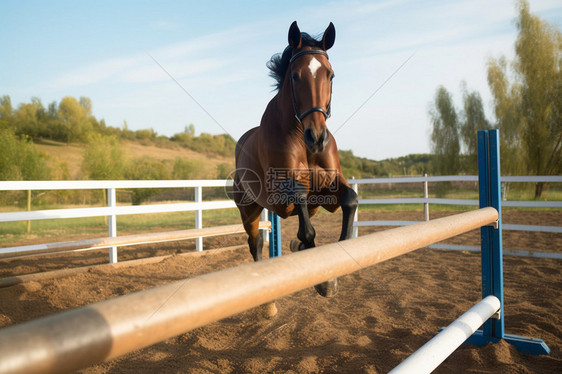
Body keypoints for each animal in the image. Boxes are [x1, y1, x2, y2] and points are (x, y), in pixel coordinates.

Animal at [233, 21, 356, 298]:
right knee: (255, 244)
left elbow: (350, 199)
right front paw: (322, 278)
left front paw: (331, 275)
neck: (301, 138)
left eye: (330, 75)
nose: (317, 137)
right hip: (249, 212)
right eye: (295, 76)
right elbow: (305, 225)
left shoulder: (327, 190)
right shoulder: (283, 192)